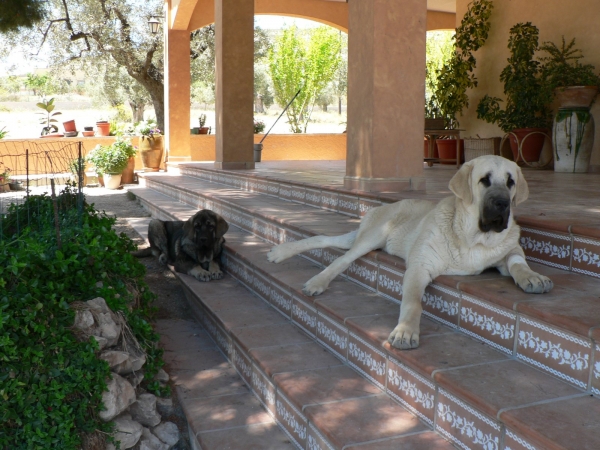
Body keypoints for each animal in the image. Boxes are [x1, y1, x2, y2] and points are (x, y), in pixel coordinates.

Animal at [268, 156, 552, 350]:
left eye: (511, 182)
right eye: (484, 180)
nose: (503, 204)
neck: (474, 238)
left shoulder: (508, 249)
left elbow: (517, 262)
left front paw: (532, 277)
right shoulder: (419, 267)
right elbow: (413, 302)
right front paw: (405, 331)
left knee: (326, 241)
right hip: (374, 235)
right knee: (341, 259)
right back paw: (317, 280)